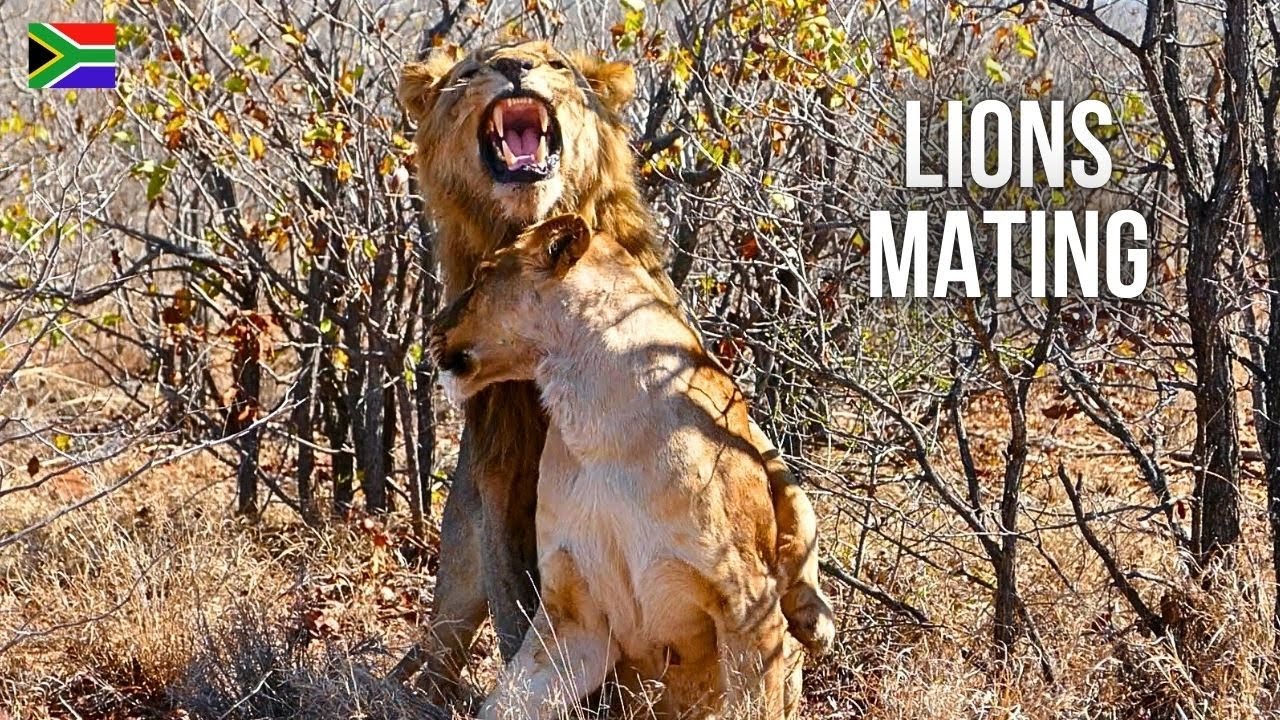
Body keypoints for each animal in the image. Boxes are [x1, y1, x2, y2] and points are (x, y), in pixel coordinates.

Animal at [430, 214, 803, 719]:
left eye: (483, 274)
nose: (432, 328)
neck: (596, 422)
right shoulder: (576, 619)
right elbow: (506, 703)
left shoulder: (750, 607)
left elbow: (753, 706)